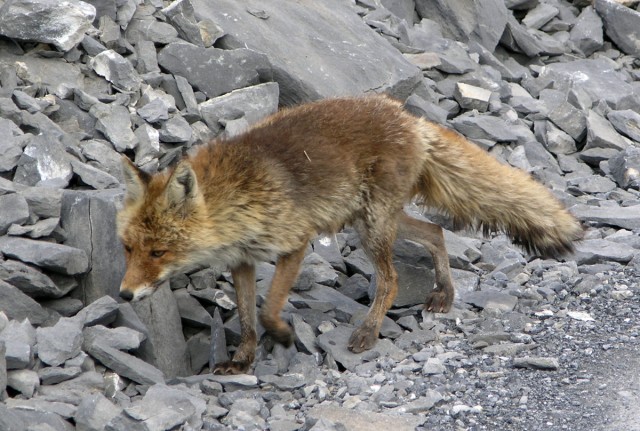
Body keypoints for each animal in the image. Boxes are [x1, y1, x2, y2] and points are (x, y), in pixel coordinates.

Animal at [117, 94, 584, 374]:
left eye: (158, 252)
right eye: (128, 249)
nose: (123, 294)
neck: (238, 195)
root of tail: (409, 117)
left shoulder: (295, 243)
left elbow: (267, 310)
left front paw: (283, 335)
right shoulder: (243, 262)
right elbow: (248, 319)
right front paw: (244, 360)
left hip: (373, 228)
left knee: (391, 279)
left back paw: (368, 332)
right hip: (375, 221)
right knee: (435, 231)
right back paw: (444, 293)